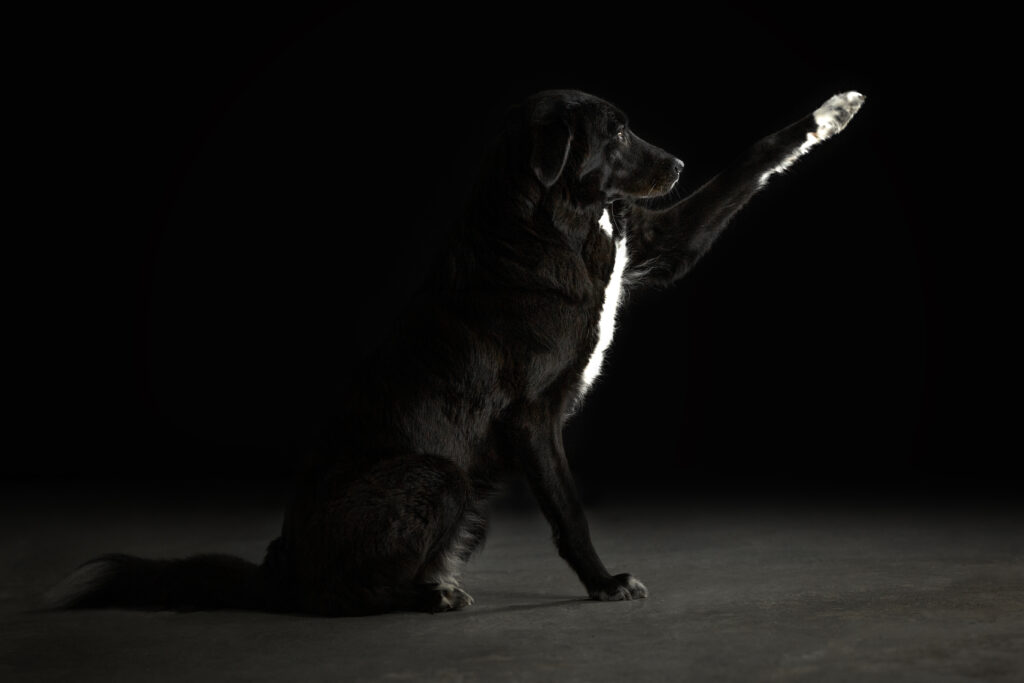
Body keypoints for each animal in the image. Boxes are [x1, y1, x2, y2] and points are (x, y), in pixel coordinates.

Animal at [48, 88, 864, 618]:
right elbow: (571, 513)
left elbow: (752, 163)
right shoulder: (534, 417)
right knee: (332, 597)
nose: (679, 164)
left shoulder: (653, 246)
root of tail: (279, 563)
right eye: (616, 136)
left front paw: (833, 112)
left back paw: (431, 584)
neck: (551, 225)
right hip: (436, 473)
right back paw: (429, 595)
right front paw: (605, 583)